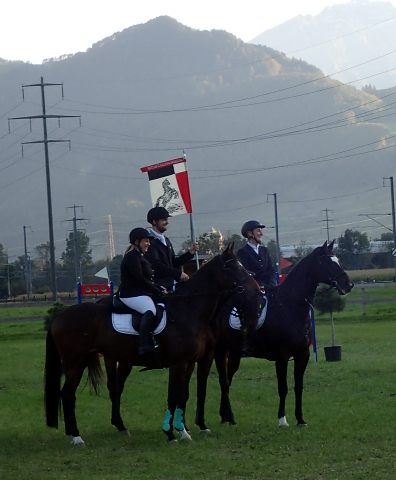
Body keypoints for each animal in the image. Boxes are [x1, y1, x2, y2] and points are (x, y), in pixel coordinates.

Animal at [44, 246, 262, 444]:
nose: (257, 289)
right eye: (232, 267)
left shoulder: (191, 362)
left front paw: (184, 431)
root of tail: (59, 316)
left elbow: (184, 395)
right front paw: (171, 433)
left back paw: (108, 428)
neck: (188, 310)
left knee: (107, 389)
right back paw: (76, 436)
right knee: (68, 394)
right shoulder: (178, 364)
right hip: (75, 363)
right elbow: (173, 396)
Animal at [193, 240, 354, 432]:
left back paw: (225, 416)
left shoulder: (303, 355)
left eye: (337, 260)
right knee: (224, 381)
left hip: (235, 353)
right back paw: (230, 417)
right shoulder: (282, 356)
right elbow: (283, 387)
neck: (290, 307)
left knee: (228, 379)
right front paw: (282, 420)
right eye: (329, 263)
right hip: (221, 350)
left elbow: (298, 386)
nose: (348, 284)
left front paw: (301, 419)